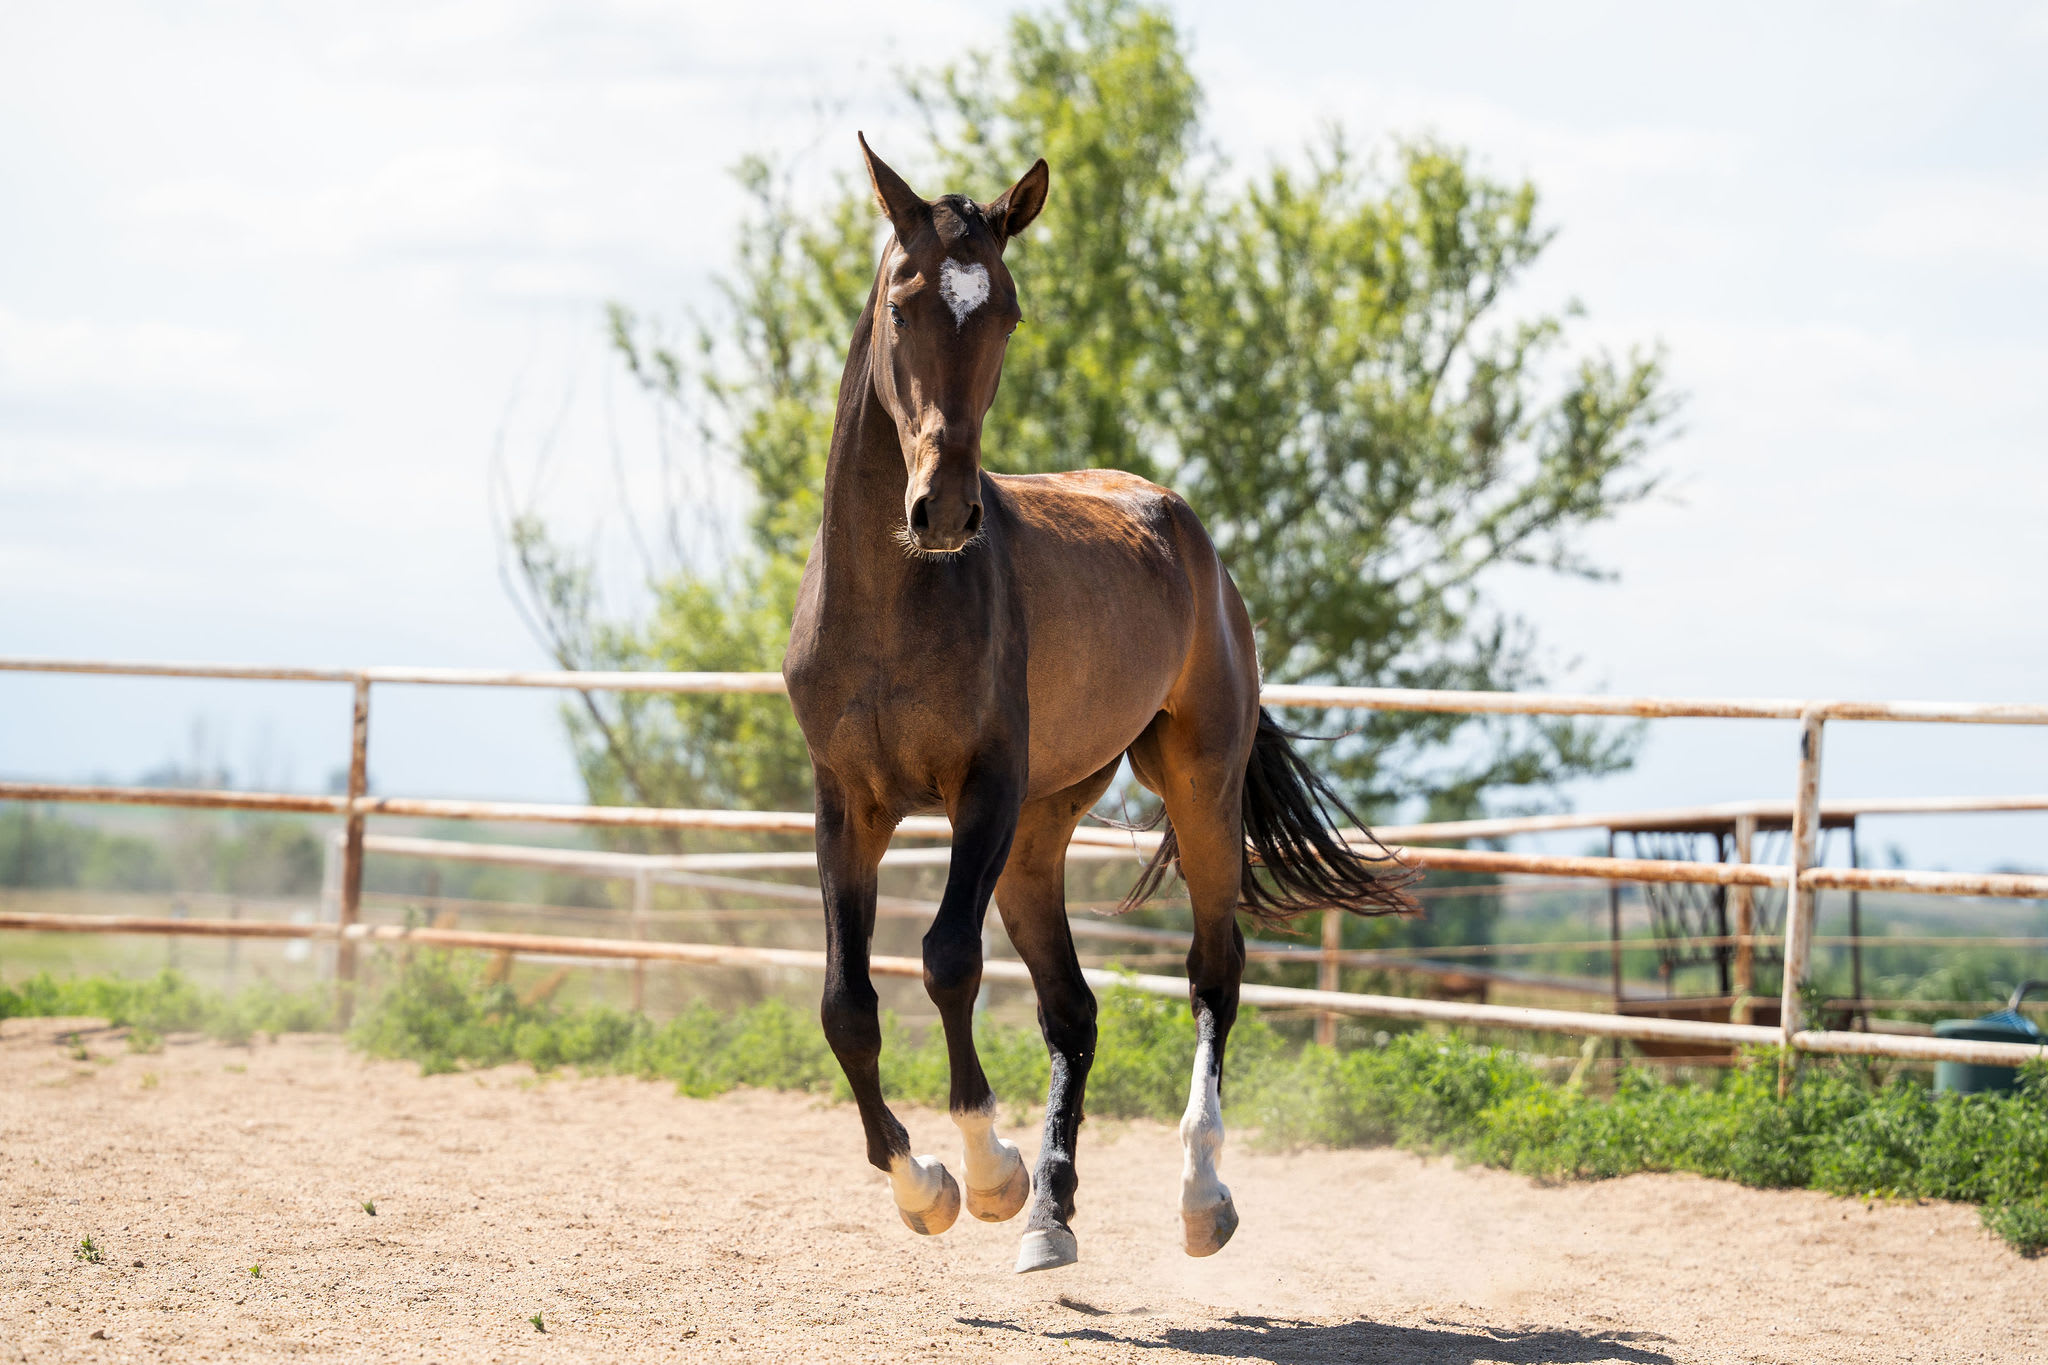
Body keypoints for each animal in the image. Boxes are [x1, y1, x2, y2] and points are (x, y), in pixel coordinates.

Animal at [782, 135, 1415, 1274]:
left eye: (1005, 311)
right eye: (903, 299)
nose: (944, 510)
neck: (894, 602)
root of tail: (1183, 528)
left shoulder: (981, 791)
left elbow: (946, 960)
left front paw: (985, 1171)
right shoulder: (845, 804)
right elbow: (846, 1005)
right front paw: (926, 1189)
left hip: (1192, 785)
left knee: (1213, 972)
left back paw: (1197, 1195)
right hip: (1041, 828)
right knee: (1072, 1009)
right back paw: (1052, 1217)